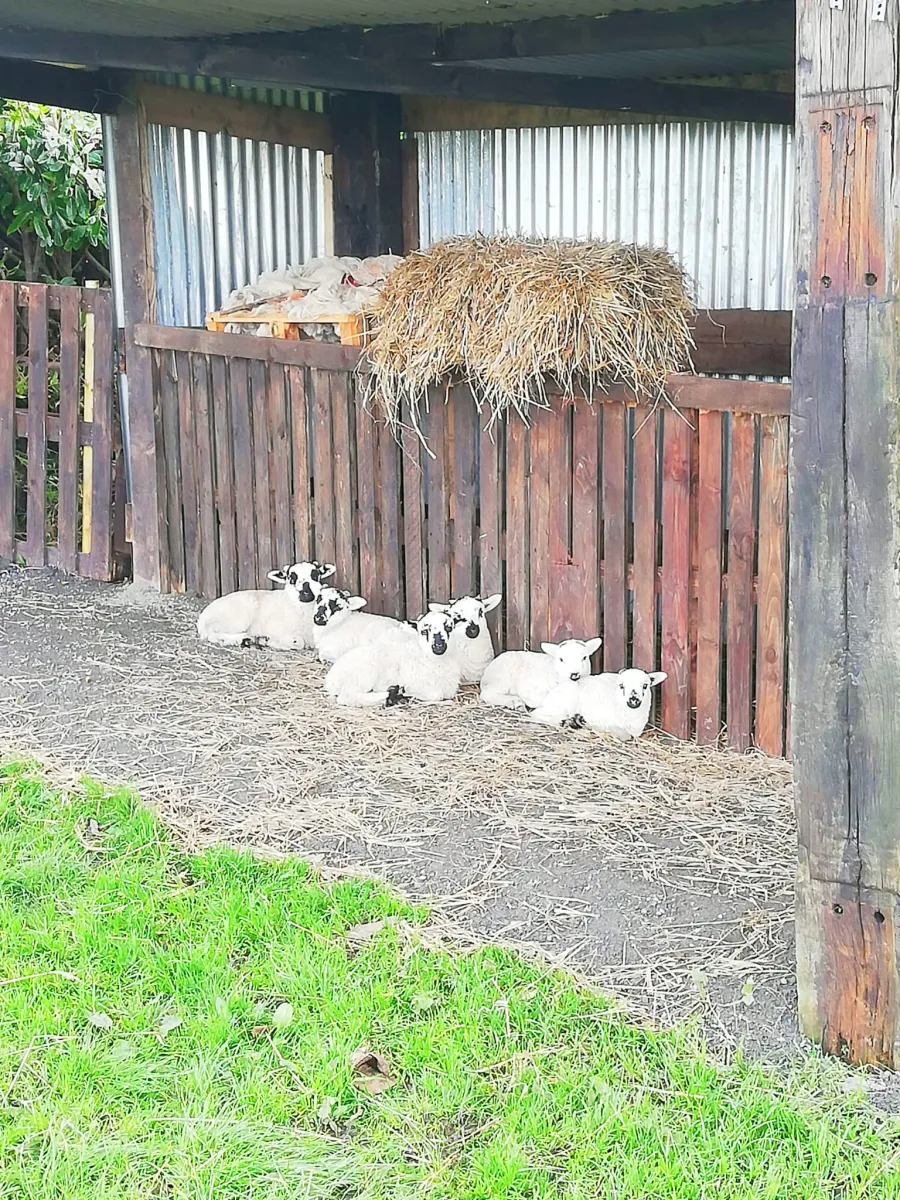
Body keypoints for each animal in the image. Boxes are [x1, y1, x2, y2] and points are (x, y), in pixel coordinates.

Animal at [196, 560, 335, 650]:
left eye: (316, 575)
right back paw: (244, 639)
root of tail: (202, 619)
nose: (306, 590)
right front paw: (270, 641)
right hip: (236, 620)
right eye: (291, 578)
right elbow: (299, 642)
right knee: (212, 634)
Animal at [324, 610, 461, 708]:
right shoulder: (417, 683)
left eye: (448, 627)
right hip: (364, 672)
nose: (438, 646)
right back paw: (390, 695)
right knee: (347, 697)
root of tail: (330, 680)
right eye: (424, 631)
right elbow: (436, 695)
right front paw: (405, 692)